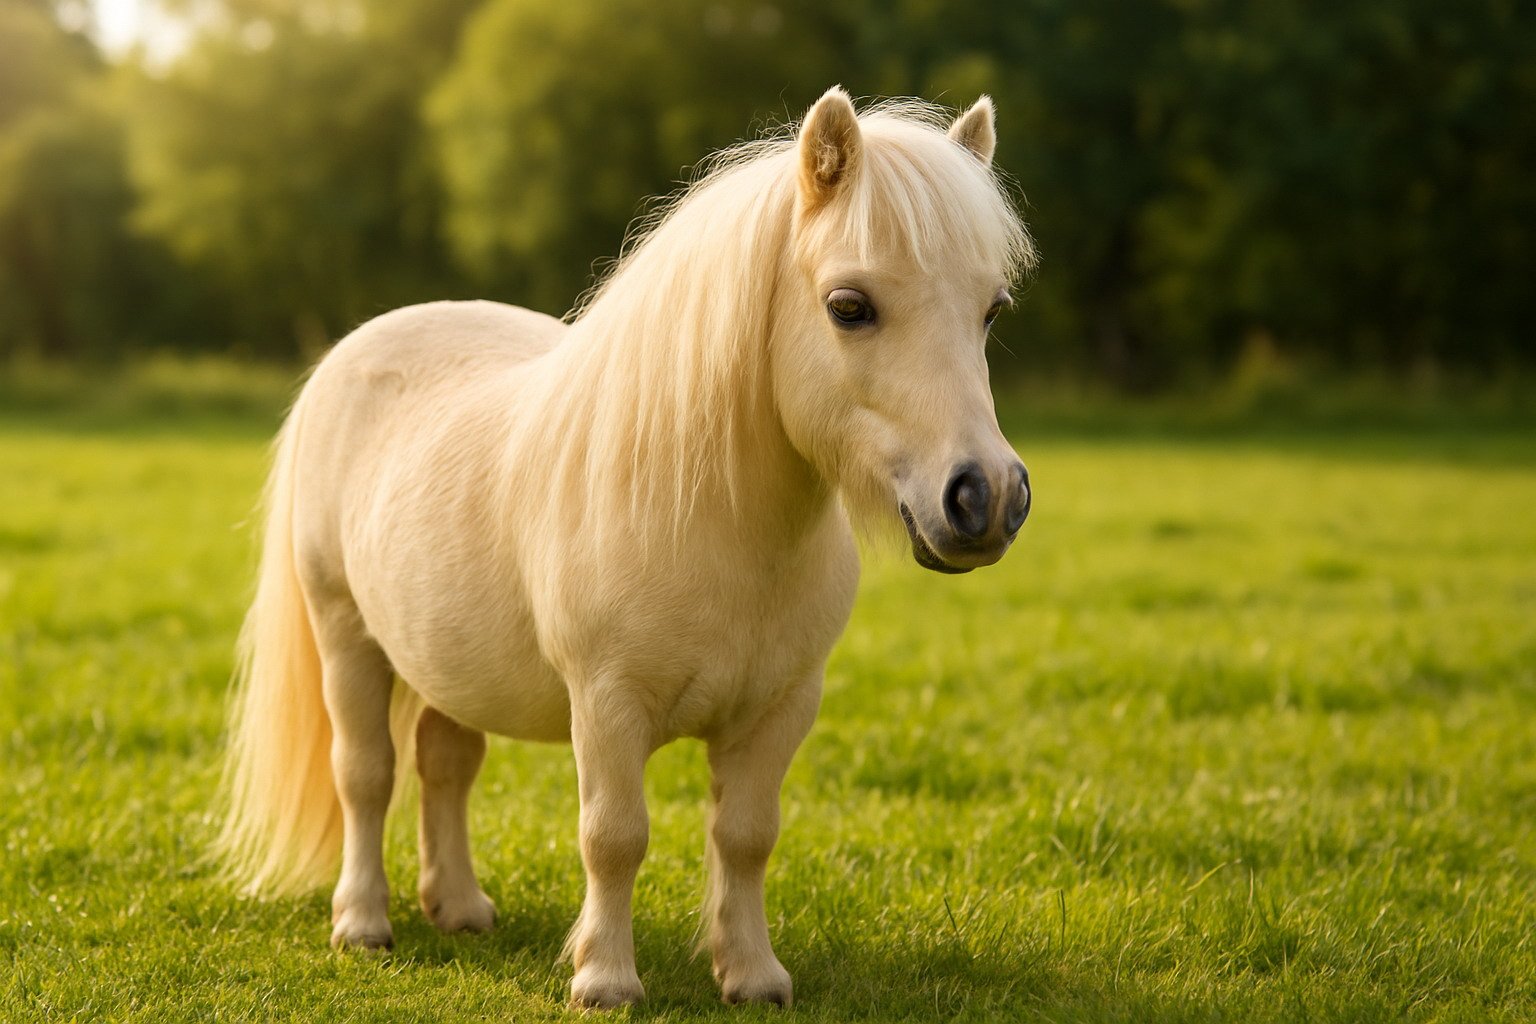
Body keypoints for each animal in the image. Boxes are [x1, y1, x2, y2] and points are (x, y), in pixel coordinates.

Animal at [215, 86, 1035, 1009]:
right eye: (849, 306)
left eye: (991, 310)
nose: (987, 497)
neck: (717, 524)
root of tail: (357, 350)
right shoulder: (608, 705)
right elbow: (614, 836)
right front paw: (604, 979)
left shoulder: (782, 707)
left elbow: (747, 834)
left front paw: (751, 975)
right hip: (345, 633)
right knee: (364, 772)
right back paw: (362, 923)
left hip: (442, 657)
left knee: (446, 763)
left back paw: (459, 907)